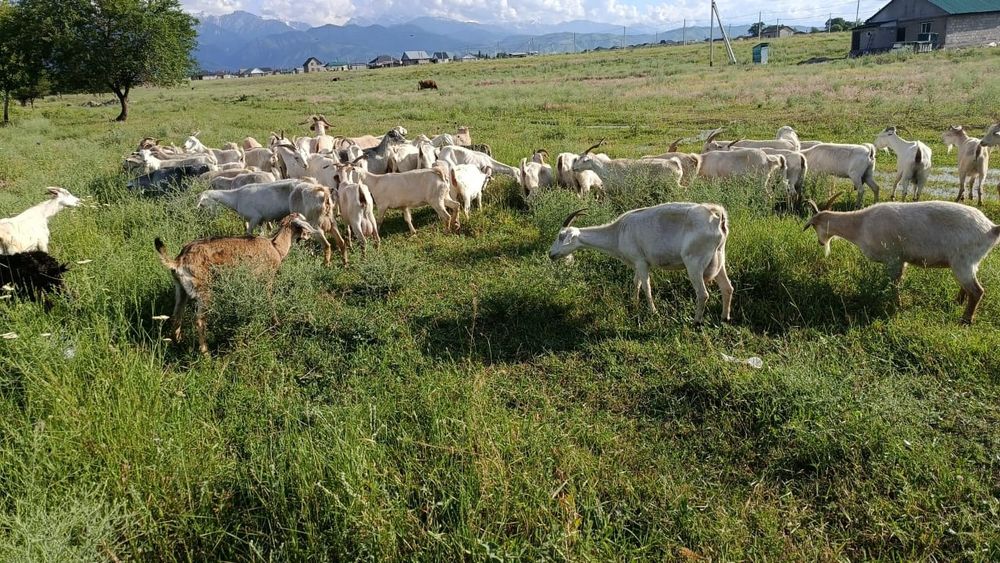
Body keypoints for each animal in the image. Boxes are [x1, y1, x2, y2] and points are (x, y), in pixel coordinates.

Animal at [154, 214, 318, 354]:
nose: (309, 235)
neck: (276, 246)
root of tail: (179, 260)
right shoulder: (267, 279)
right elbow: (270, 300)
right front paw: (276, 323)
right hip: (204, 291)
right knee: (200, 320)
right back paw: (205, 353)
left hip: (181, 289)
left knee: (177, 314)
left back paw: (177, 343)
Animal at [549, 204, 733, 323]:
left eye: (561, 236)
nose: (550, 254)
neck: (618, 232)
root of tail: (717, 216)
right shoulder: (637, 262)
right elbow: (635, 282)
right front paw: (634, 304)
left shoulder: (642, 262)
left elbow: (646, 286)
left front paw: (653, 312)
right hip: (720, 257)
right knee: (727, 288)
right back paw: (725, 318)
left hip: (694, 263)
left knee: (703, 294)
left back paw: (696, 322)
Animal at [804, 196, 1000, 323]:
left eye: (814, 226)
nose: (820, 243)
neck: (860, 225)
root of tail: (991, 228)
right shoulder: (902, 260)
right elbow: (897, 282)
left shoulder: (894, 258)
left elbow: (894, 284)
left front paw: (896, 305)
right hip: (966, 263)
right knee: (967, 287)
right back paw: (956, 303)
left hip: (963, 262)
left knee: (977, 291)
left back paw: (965, 320)